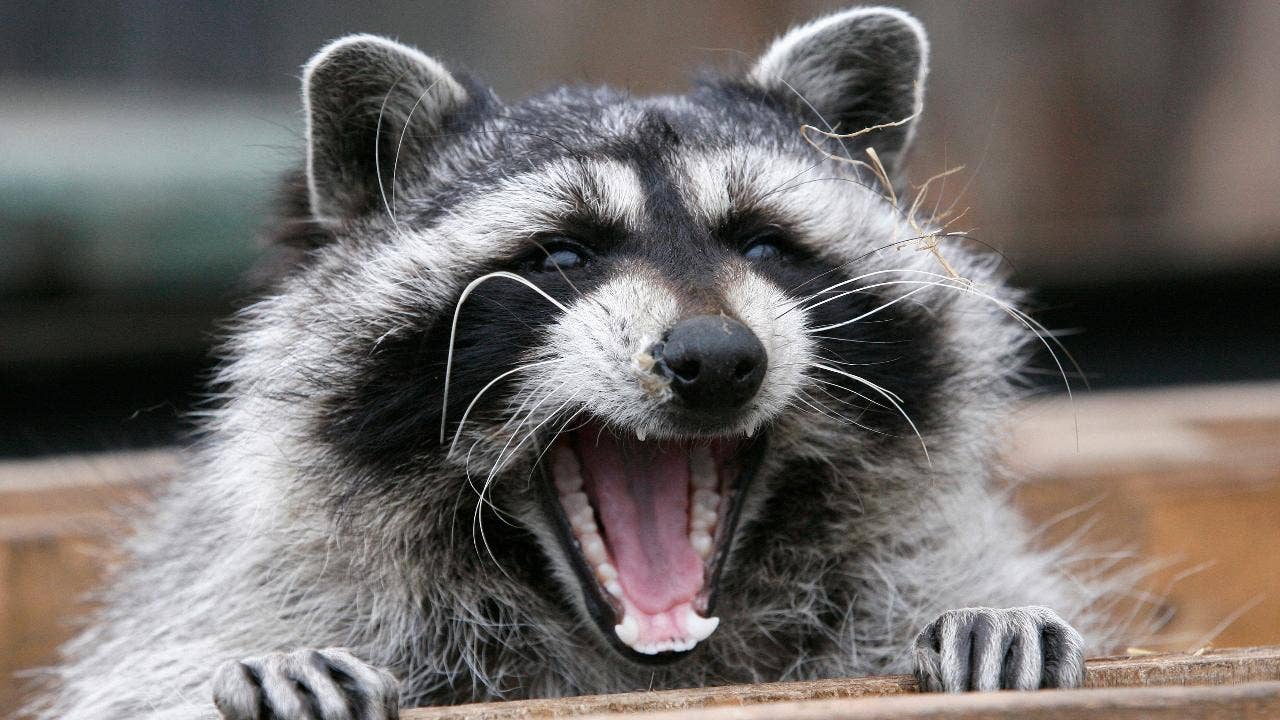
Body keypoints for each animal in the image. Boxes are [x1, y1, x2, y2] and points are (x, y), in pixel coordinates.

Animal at [29, 7, 1126, 720]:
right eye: (561, 256)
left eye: (762, 243)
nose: (715, 358)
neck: (650, 670)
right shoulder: (243, 586)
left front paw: (989, 615)